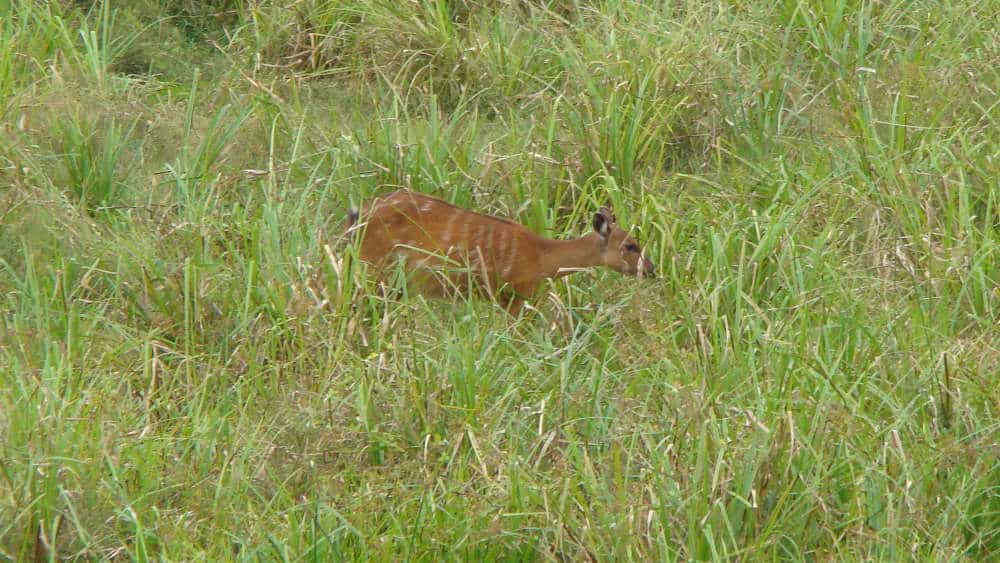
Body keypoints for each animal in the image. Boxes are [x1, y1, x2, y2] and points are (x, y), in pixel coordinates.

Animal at [346, 191, 656, 316]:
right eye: (630, 245)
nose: (651, 269)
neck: (542, 257)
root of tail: (358, 216)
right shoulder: (515, 296)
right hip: (375, 273)